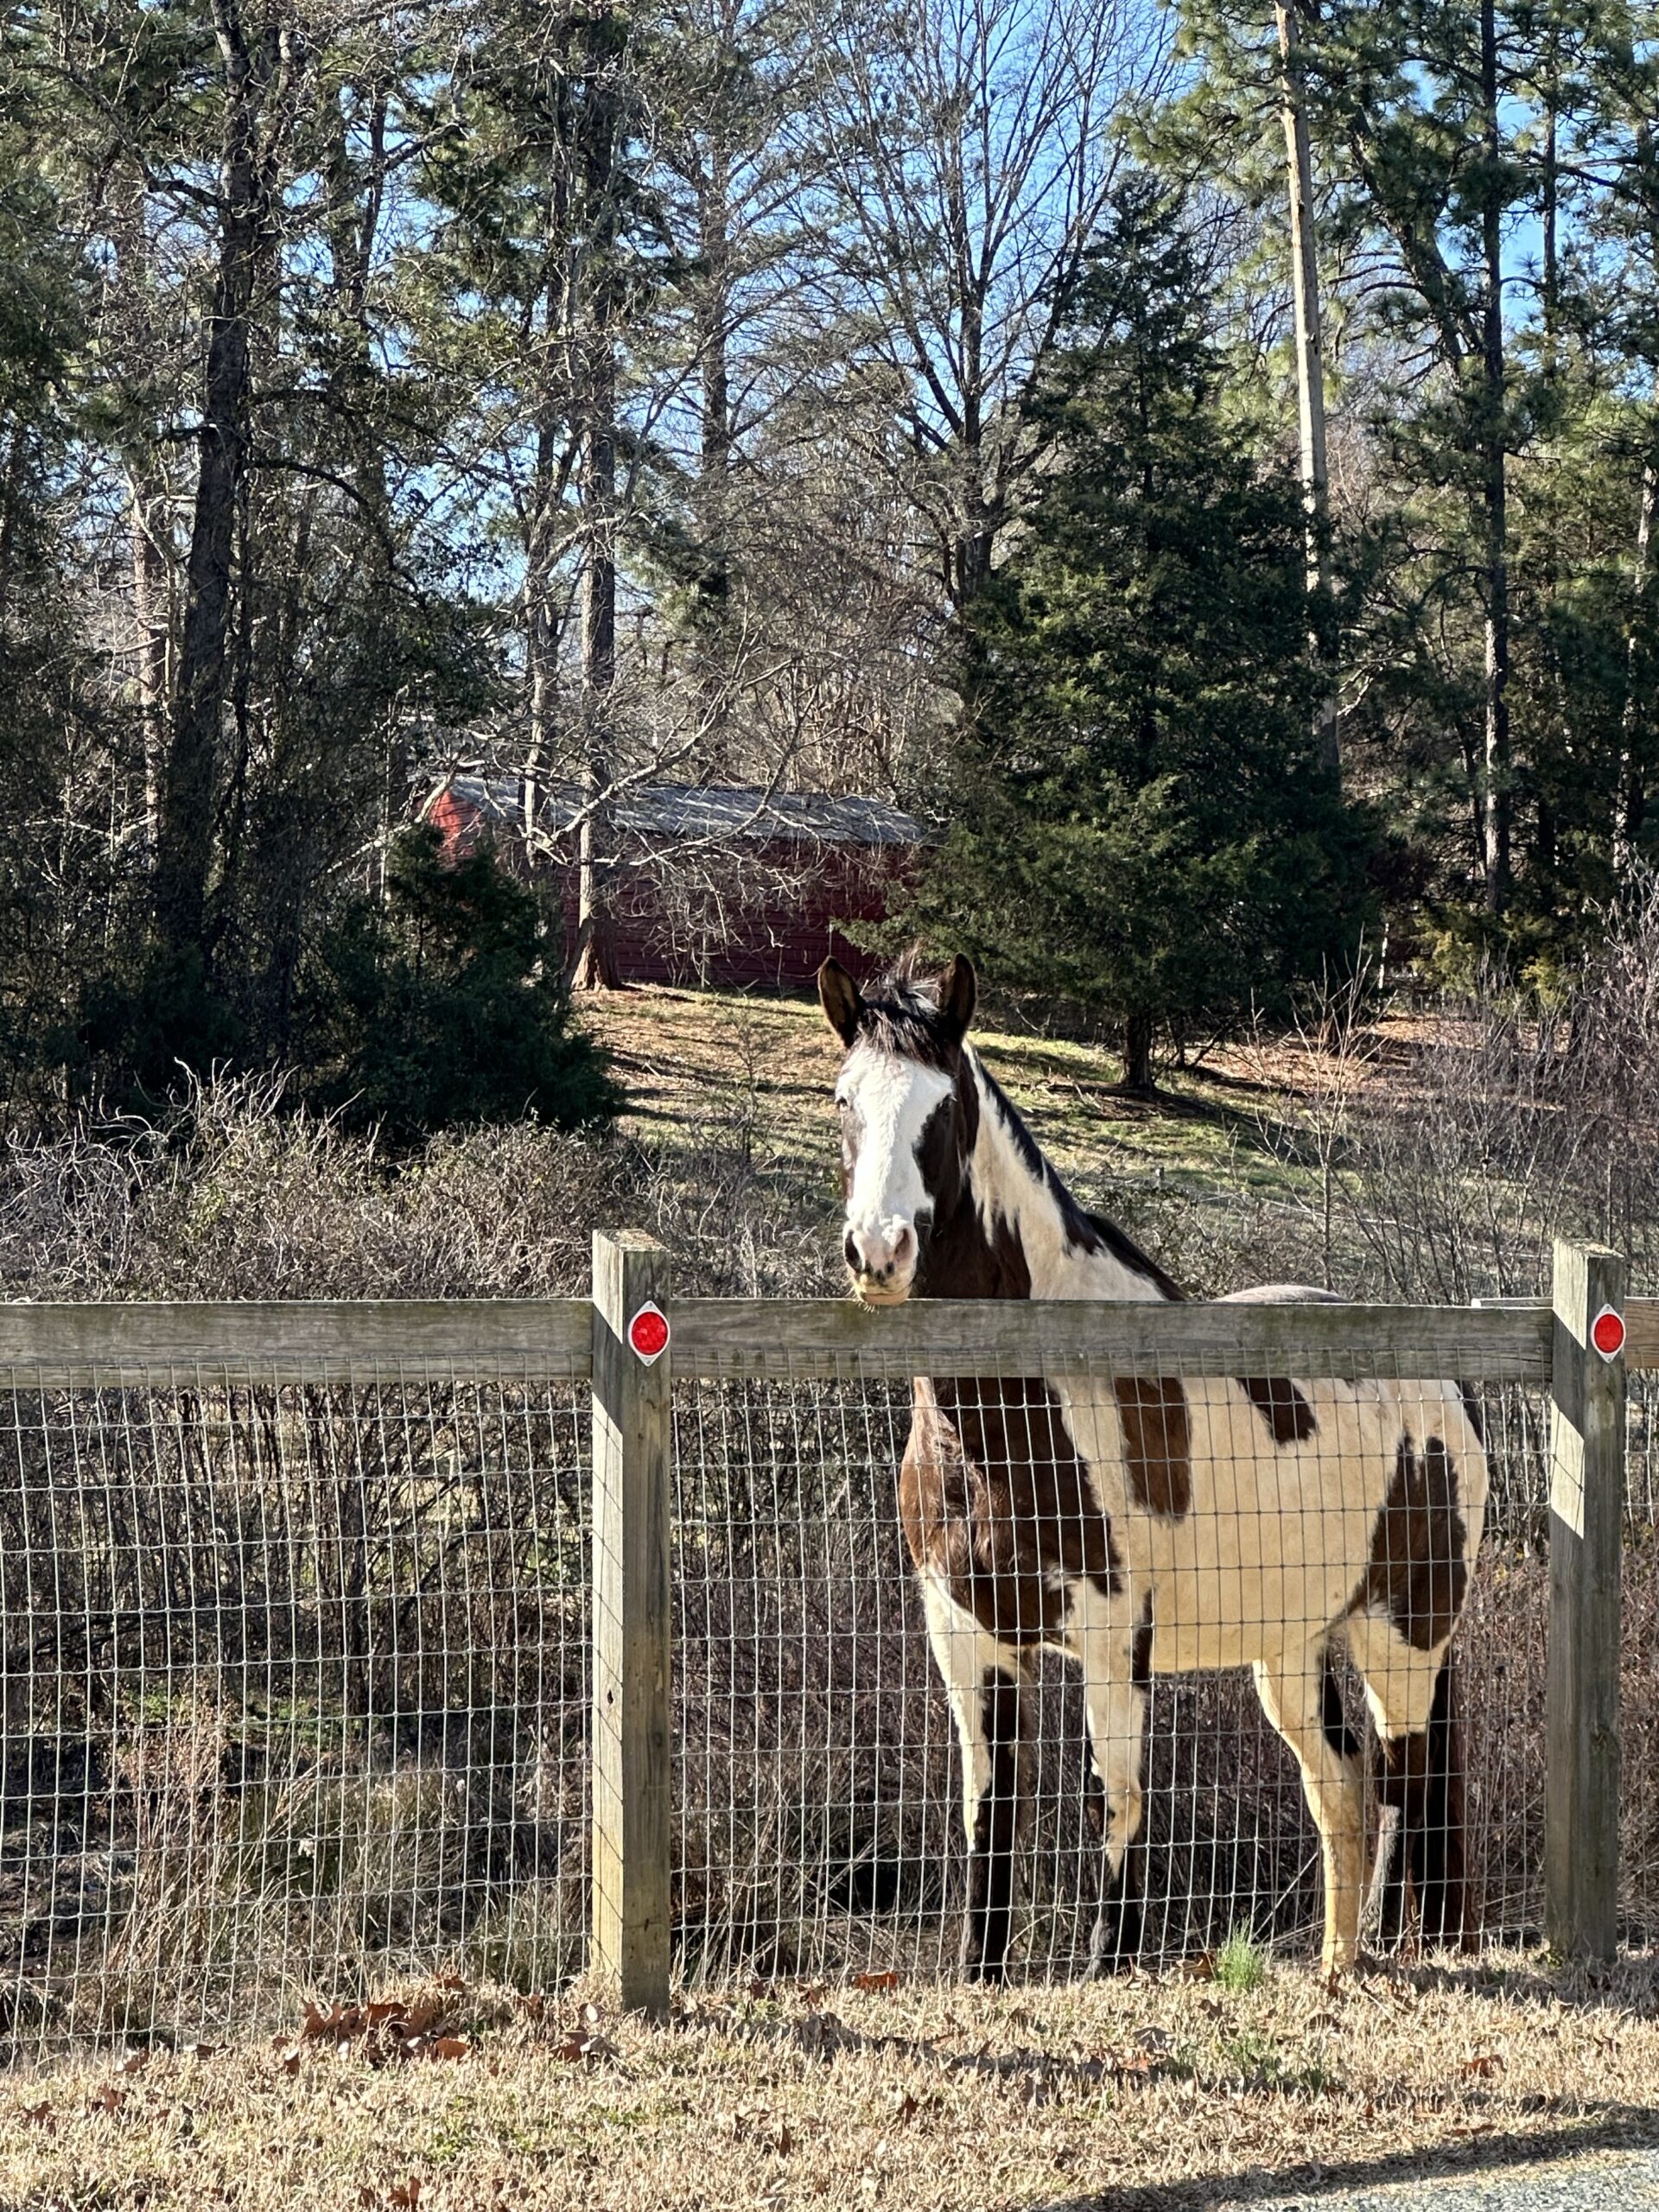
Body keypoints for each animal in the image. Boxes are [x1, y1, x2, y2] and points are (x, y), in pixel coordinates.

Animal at [823, 950, 1495, 1973]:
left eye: (944, 1110)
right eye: (843, 1100)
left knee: (1410, 1794)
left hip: (1401, 1639)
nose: (879, 1252)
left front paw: (1110, 1964)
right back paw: (1338, 1969)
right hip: (1292, 1648)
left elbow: (1118, 1801)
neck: (1021, 1408)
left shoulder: (1111, 1640)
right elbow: (992, 1812)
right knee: (1343, 1788)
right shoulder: (968, 1636)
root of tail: (1446, 1393)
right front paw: (983, 1975)